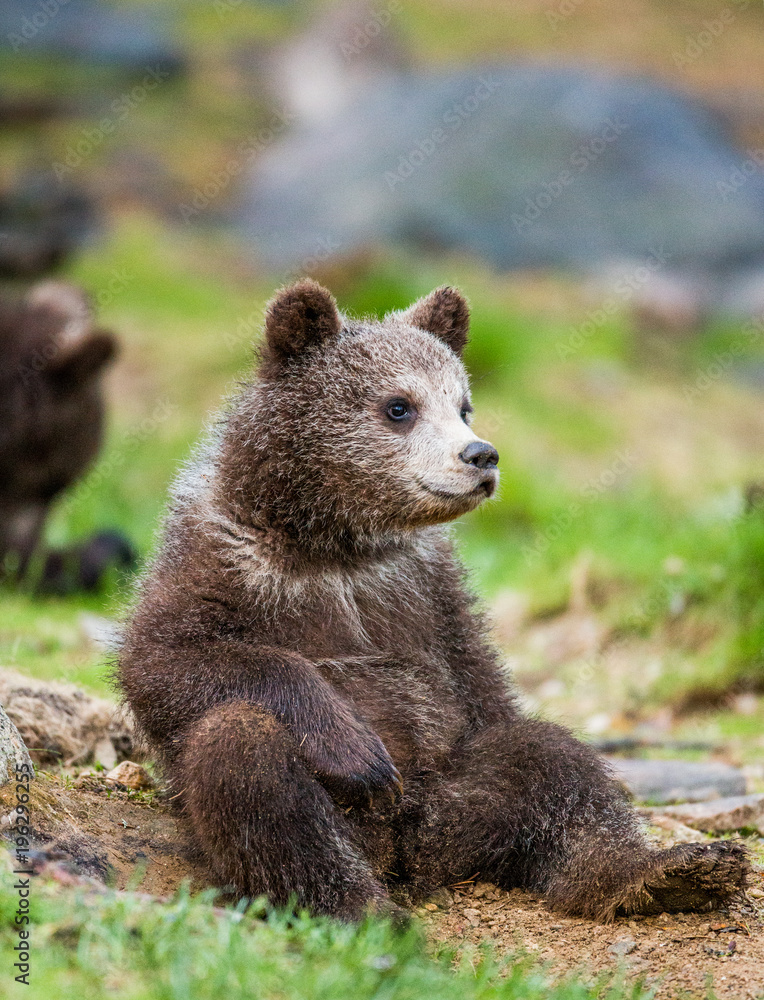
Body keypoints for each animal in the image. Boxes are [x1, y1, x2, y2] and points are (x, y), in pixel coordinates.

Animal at [118, 280, 748, 922]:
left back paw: (662, 872)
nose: (481, 455)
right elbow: (168, 659)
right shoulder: (221, 560)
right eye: (399, 406)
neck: (332, 542)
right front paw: (358, 752)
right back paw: (361, 907)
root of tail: (404, 856)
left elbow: (483, 688)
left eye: (463, 405)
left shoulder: (429, 590)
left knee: (552, 763)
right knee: (246, 759)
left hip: (454, 794)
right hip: (346, 812)